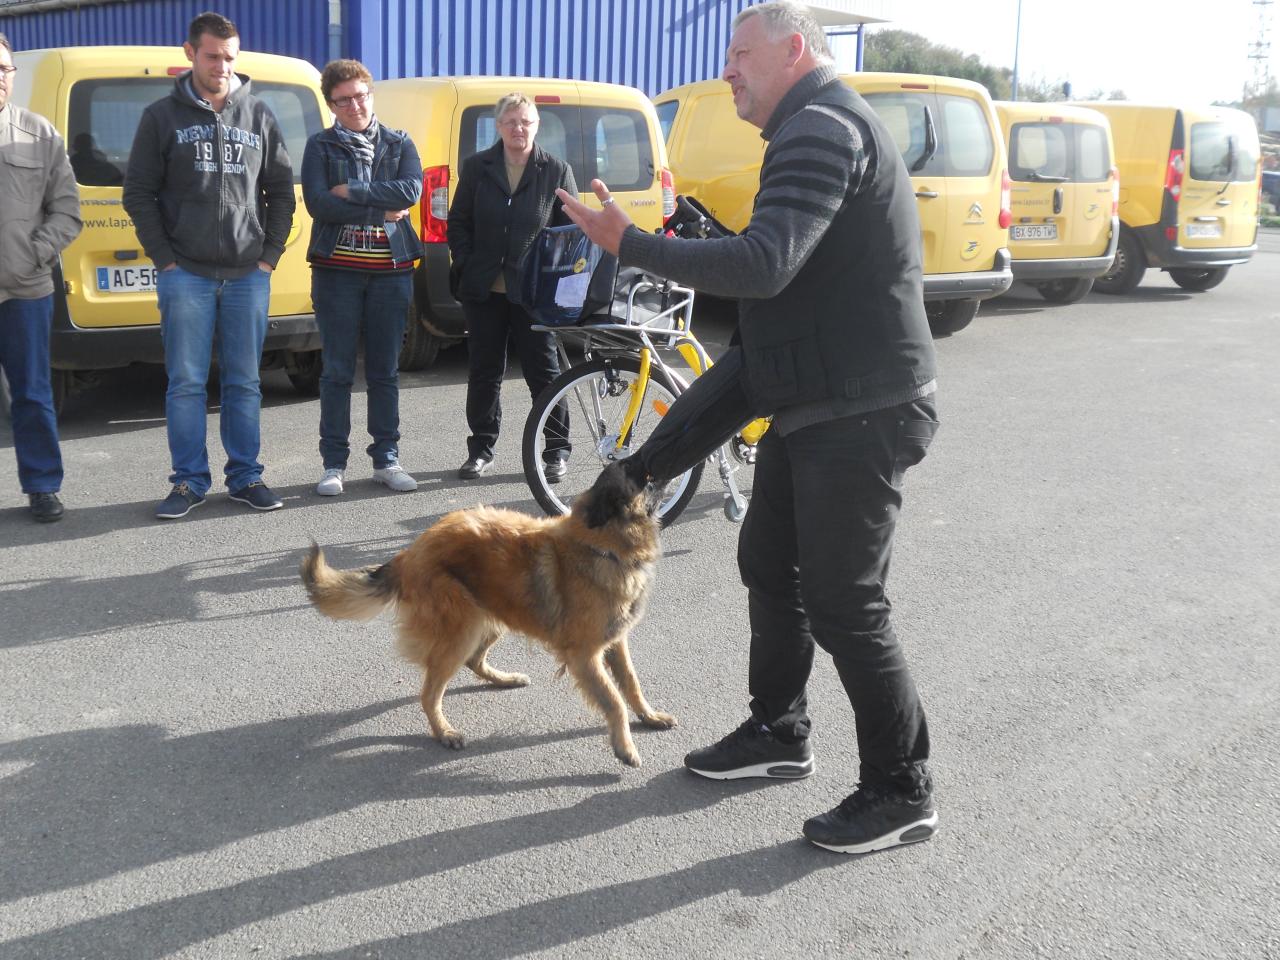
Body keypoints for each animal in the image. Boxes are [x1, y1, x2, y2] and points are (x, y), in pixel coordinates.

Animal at [300, 463, 680, 773]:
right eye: (645, 478)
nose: (665, 468)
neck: (603, 543)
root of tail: (409, 552)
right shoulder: (584, 656)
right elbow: (614, 701)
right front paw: (625, 747)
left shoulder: (615, 641)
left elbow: (630, 682)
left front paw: (648, 716)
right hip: (463, 627)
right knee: (430, 692)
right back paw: (444, 731)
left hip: (493, 616)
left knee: (473, 662)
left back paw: (505, 680)